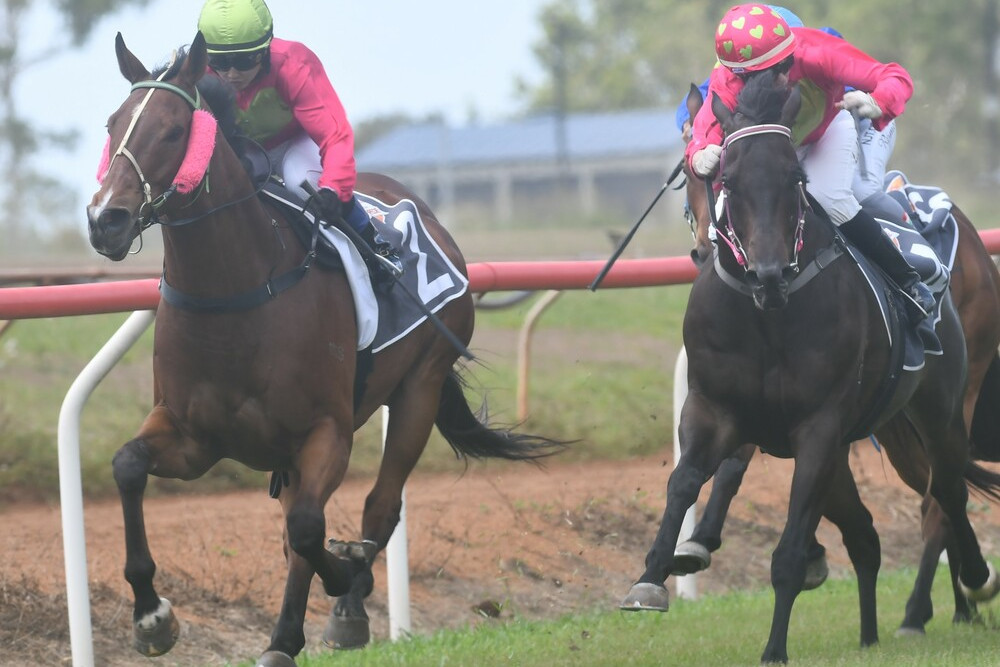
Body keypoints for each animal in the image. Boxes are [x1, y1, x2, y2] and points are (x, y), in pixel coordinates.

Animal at [88, 32, 564, 667]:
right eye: (113, 124)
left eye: (172, 130)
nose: (105, 220)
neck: (237, 294)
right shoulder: (195, 438)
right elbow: (128, 466)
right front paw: (151, 615)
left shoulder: (326, 432)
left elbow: (312, 531)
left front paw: (344, 575)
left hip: (419, 388)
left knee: (378, 505)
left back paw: (341, 610)